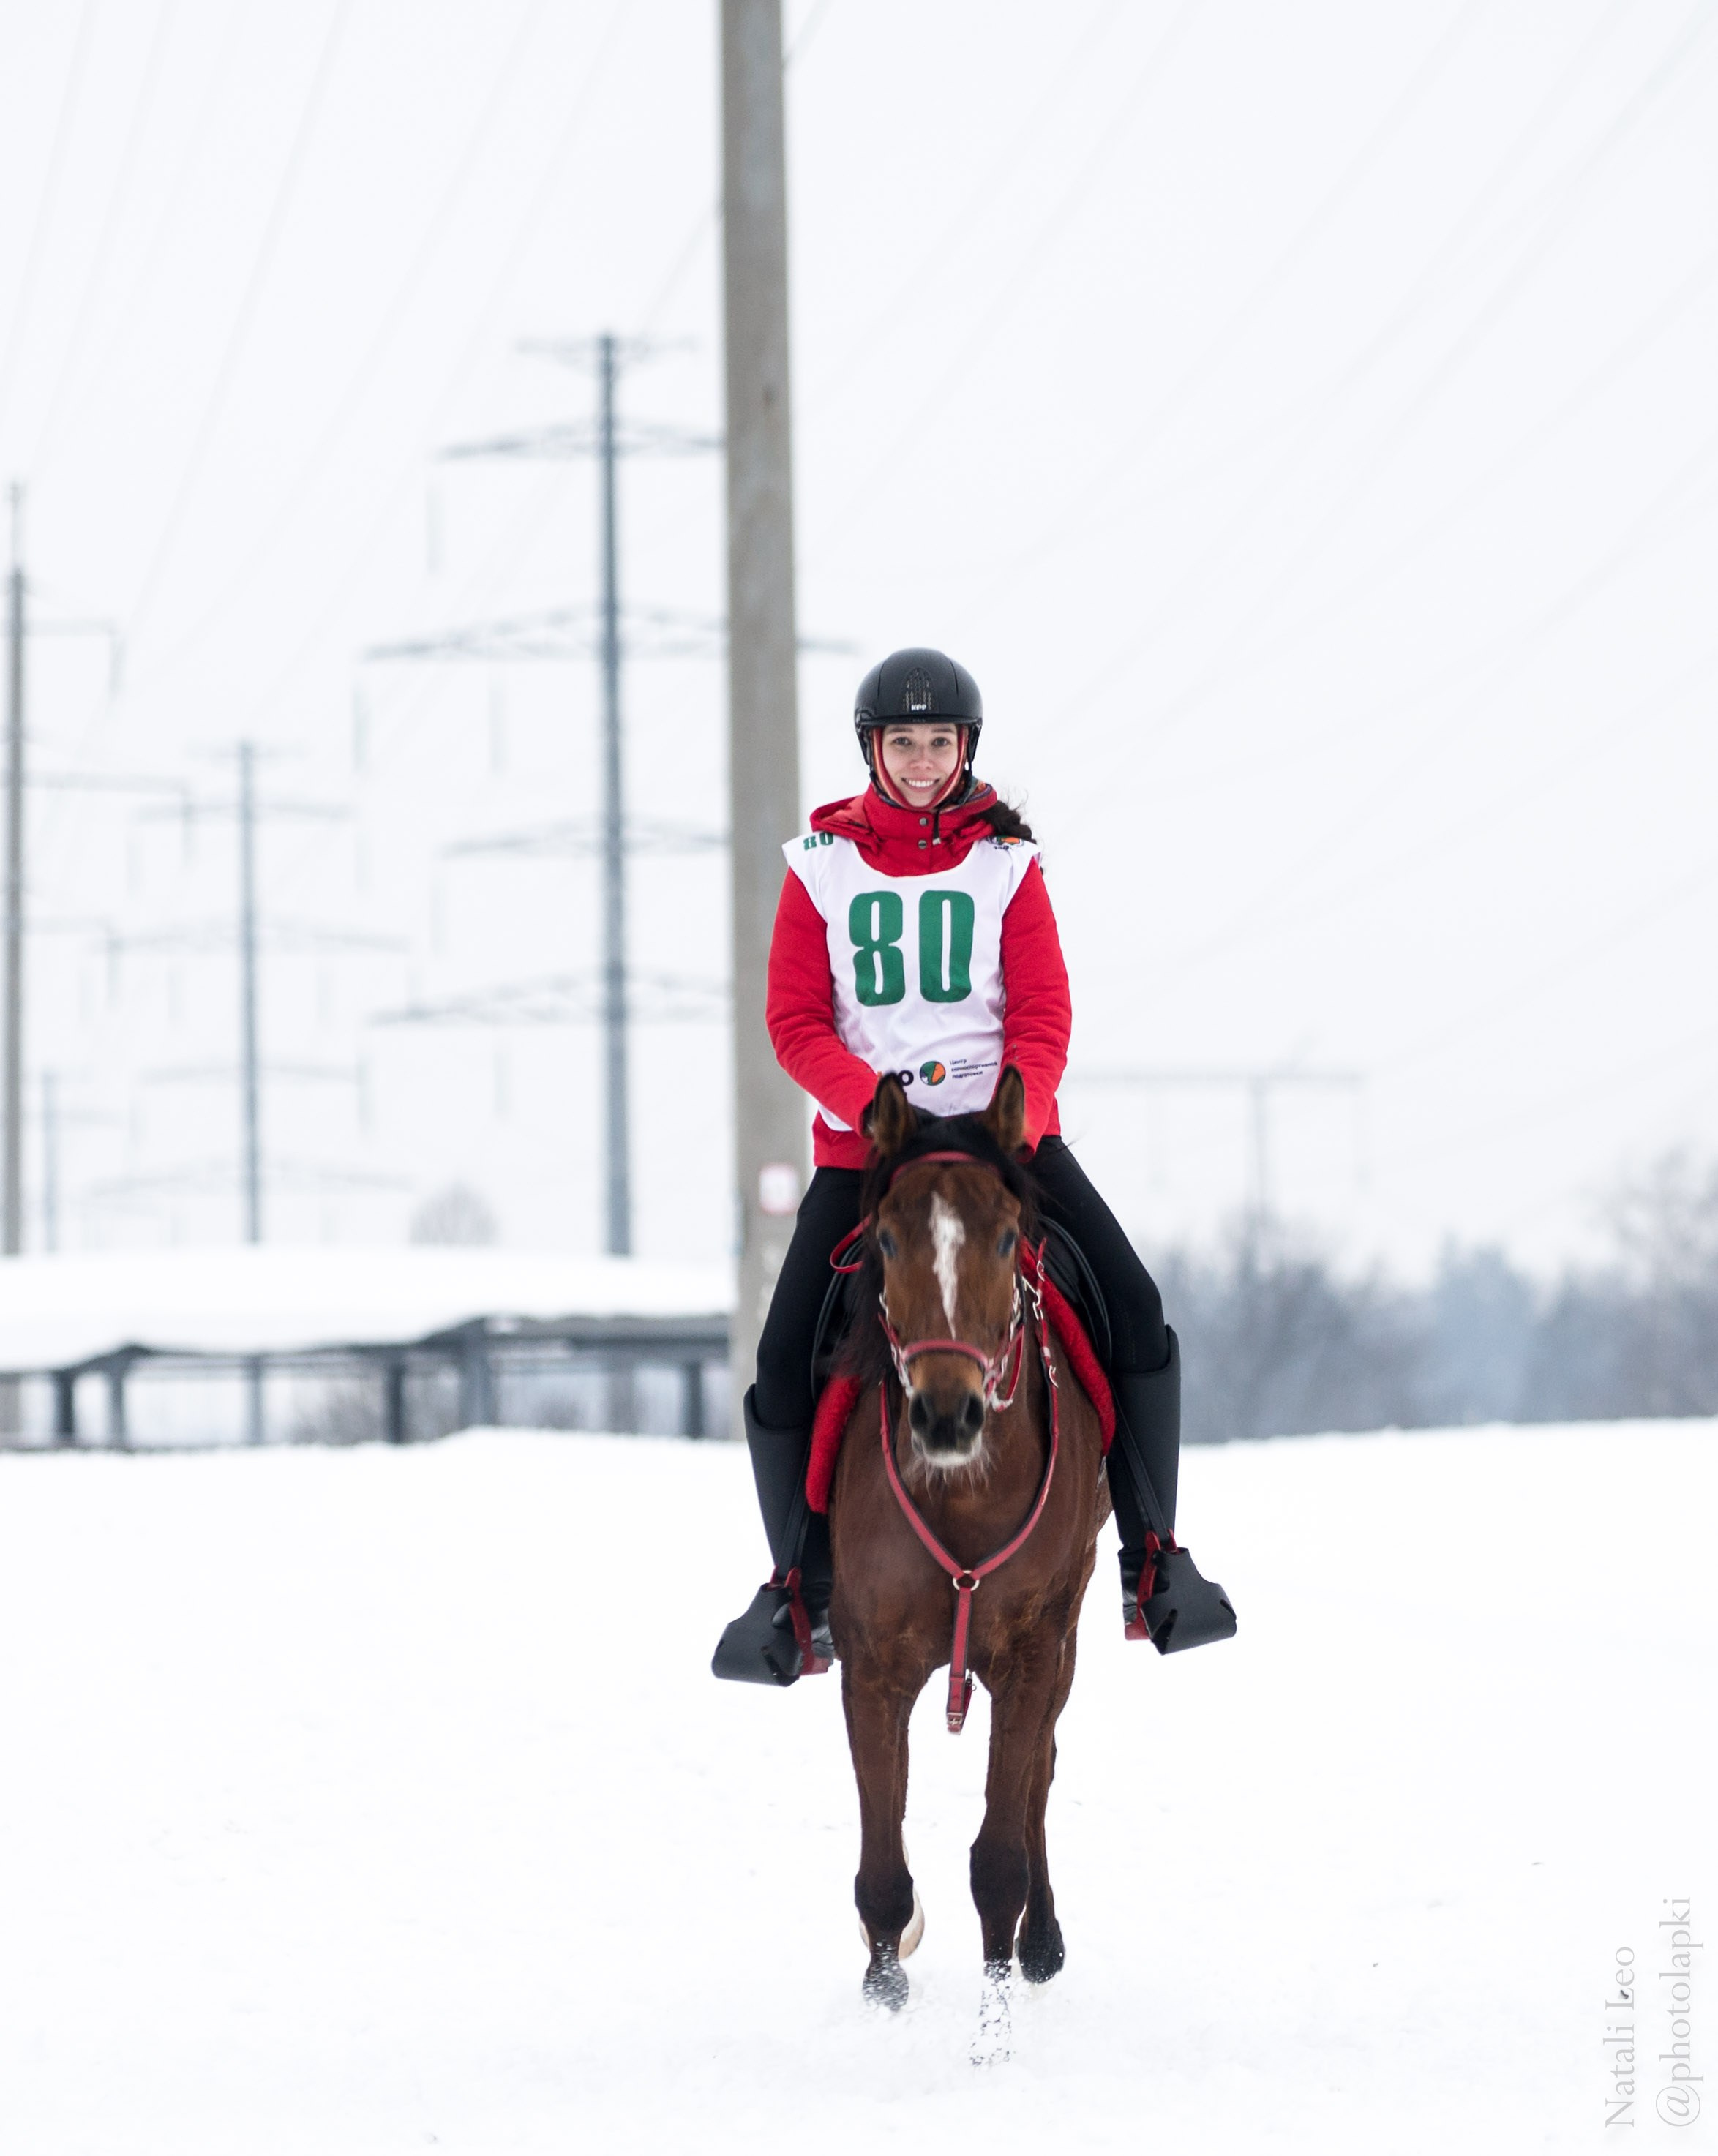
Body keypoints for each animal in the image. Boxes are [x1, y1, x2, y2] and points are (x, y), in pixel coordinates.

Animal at [826, 1065, 1110, 2054]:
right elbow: (881, 1870)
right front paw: (882, 2007)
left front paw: (990, 2041)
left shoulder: (1031, 1651)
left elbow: (999, 1860)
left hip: (1061, 1636)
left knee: (1039, 1776)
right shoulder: (872, 1664)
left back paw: (1044, 1945)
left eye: (1002, 1235)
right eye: (884, 1238)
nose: (945, 1415)